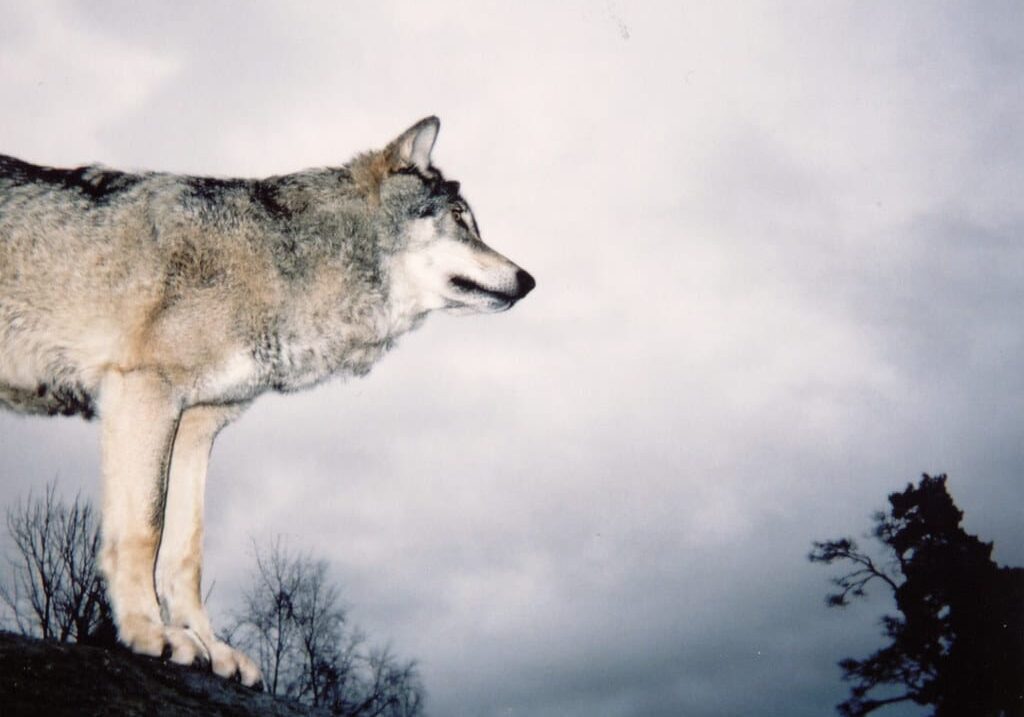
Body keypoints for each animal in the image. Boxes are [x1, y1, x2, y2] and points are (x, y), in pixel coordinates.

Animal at [0, 117, 534, 685]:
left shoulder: (196, 425)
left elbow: (185, 550)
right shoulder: (143, 393)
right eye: (460, 221)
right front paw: (147, 632)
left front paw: (210, 645)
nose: (529, 280)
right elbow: (144, 530)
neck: (281, 258)